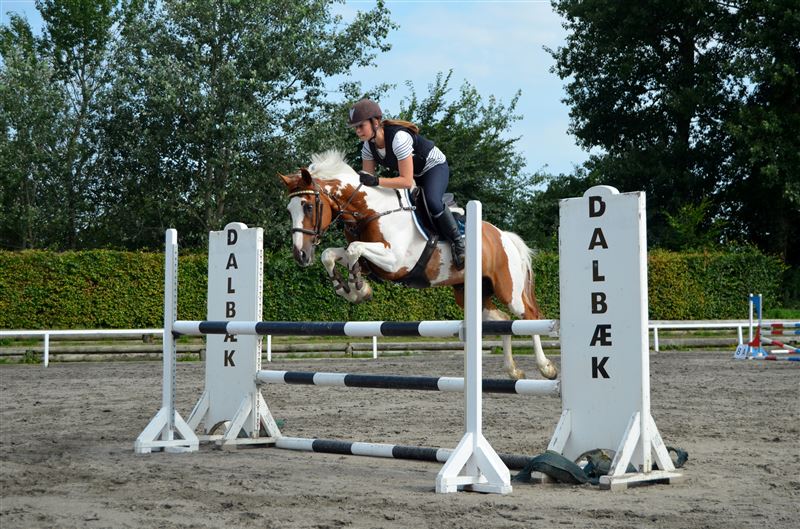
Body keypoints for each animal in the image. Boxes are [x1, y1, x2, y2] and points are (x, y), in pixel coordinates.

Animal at [279, 150, 557, 381]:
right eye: (289, 210)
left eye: (308, 206)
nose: (300, 255)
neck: (371, 210)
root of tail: (502, 236)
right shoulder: (371, 261)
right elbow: (333, 254)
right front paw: (349, 288)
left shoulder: (395, 262)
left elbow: (354, 248)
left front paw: (357, 287)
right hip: (470, 293)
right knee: (502, 320)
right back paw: (513, 370)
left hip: (509, 290)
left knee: (529, 316)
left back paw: (546, 368)